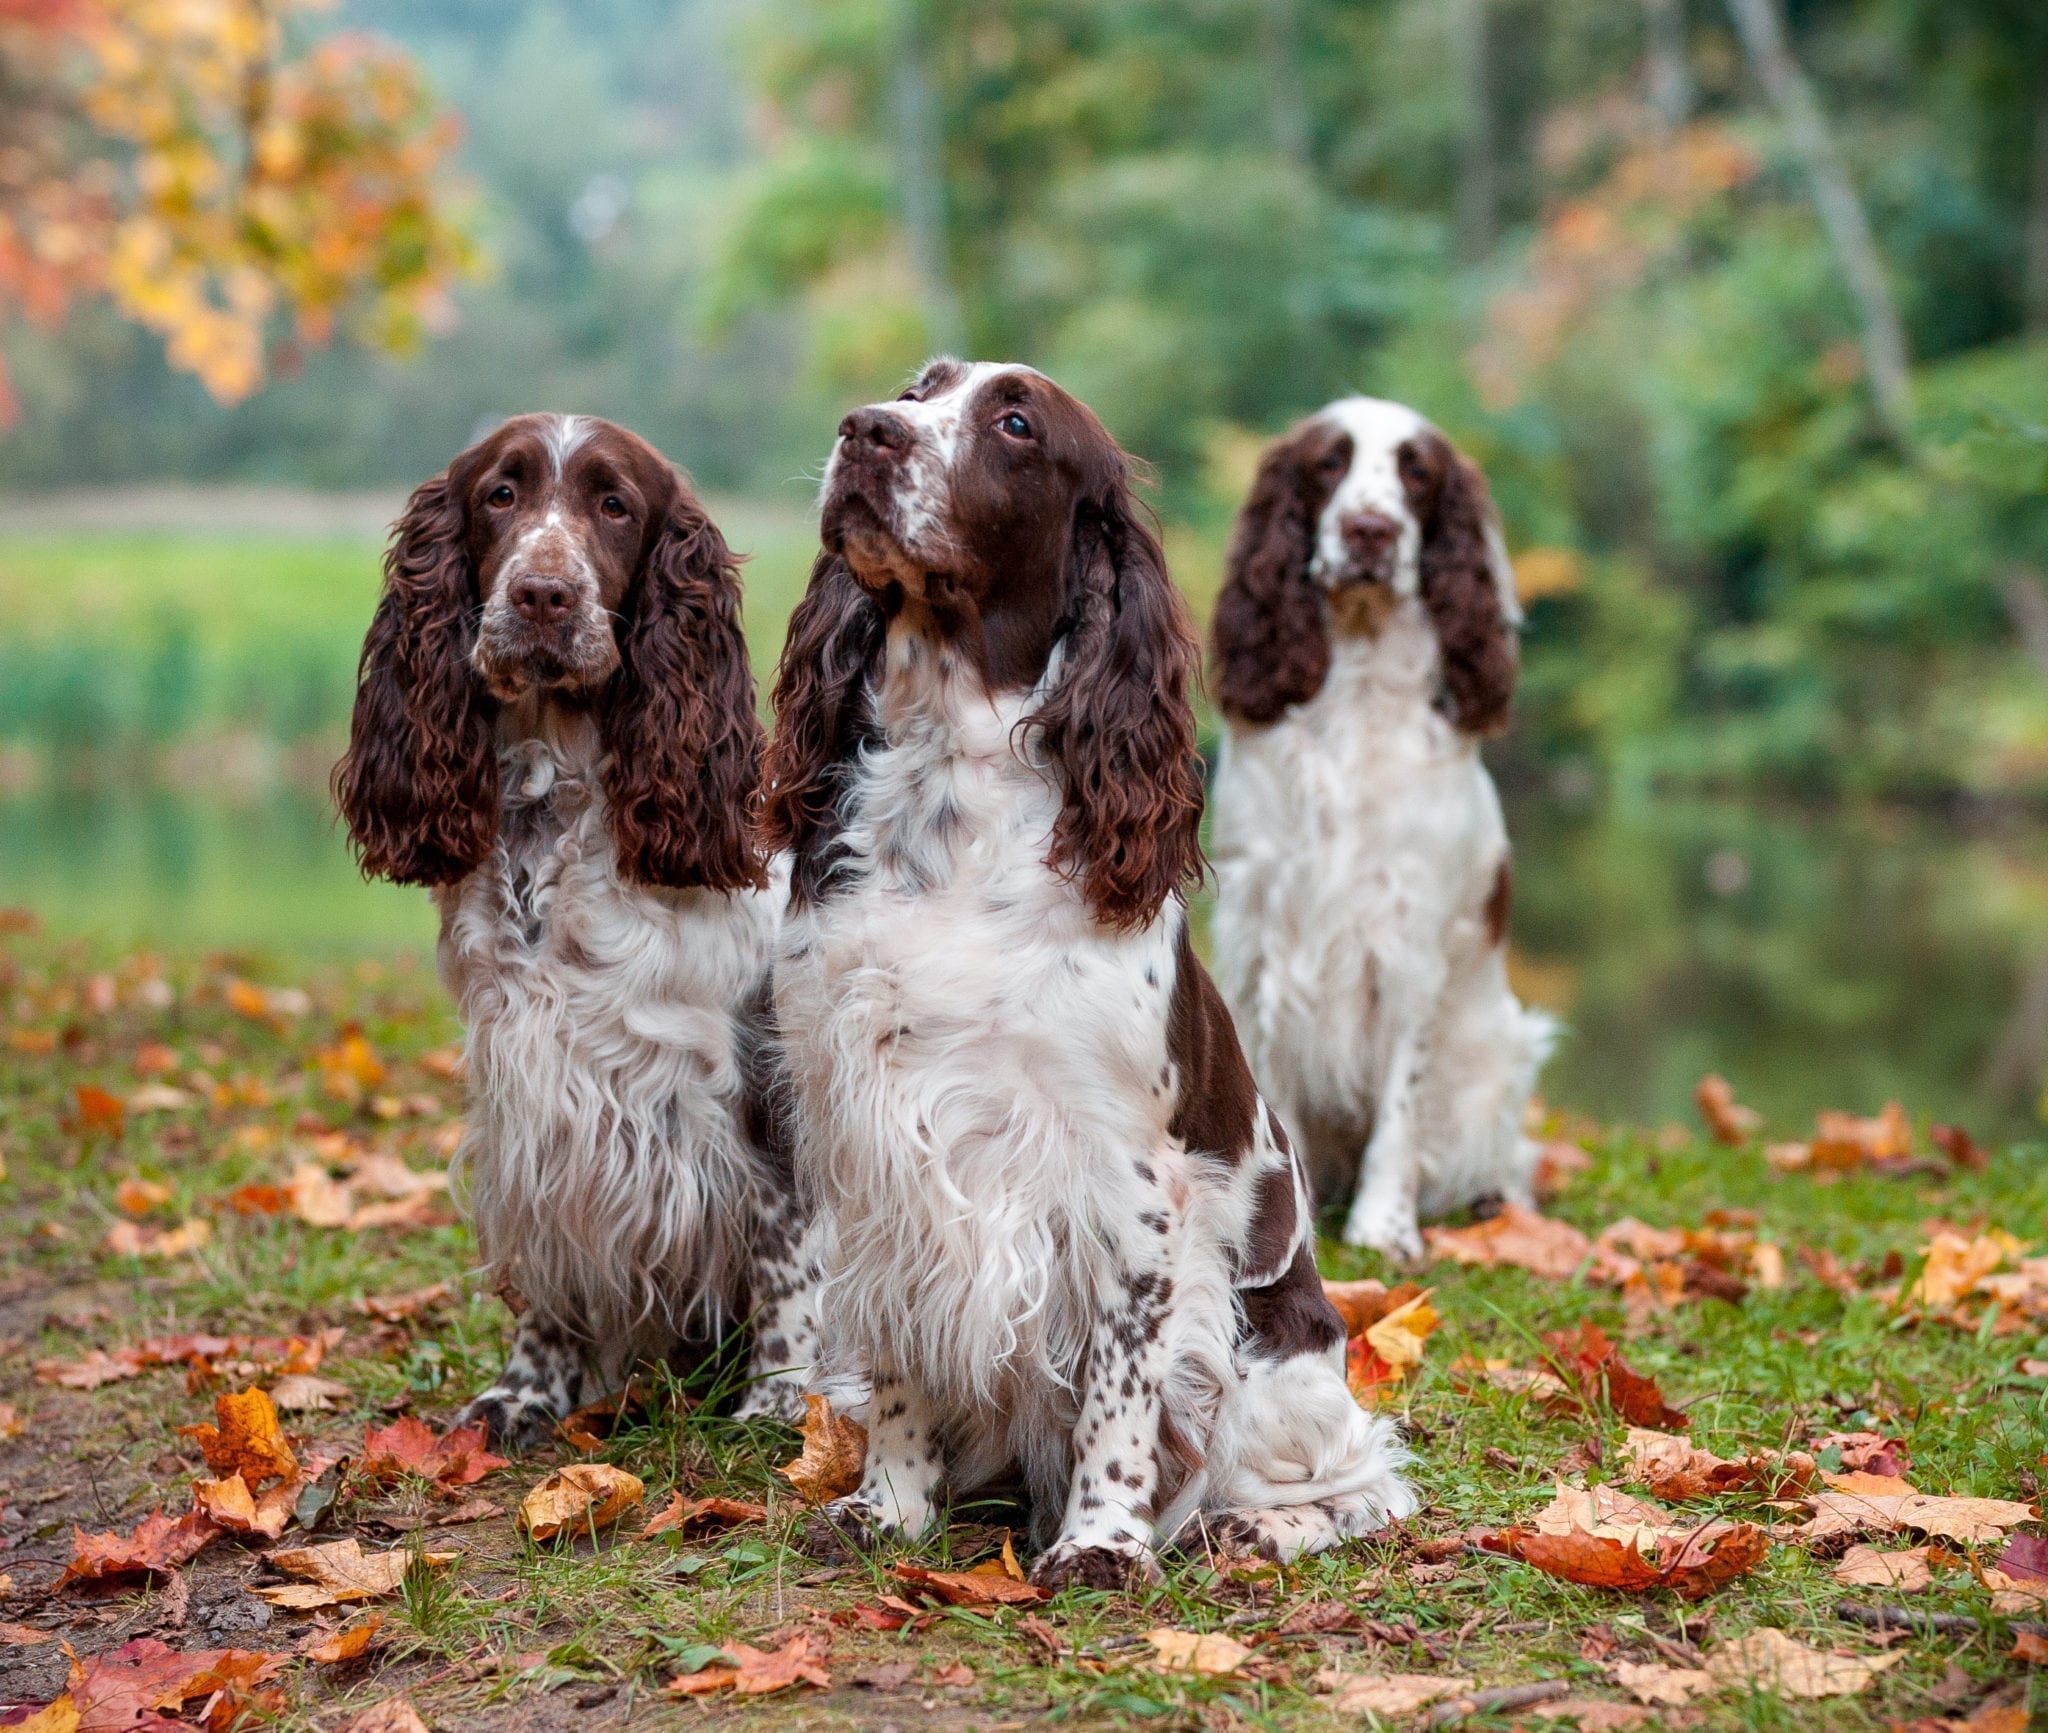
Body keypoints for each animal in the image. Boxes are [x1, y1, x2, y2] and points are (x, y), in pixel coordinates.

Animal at [331, 413, 819, 1442]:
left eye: (615, 505)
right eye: (500, 494)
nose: (544, 594)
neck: (549, 805)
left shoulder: (767, 1078)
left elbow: (788, 1250)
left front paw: (784, 1405)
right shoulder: (532, 1089)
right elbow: (548, 1264)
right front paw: (524, 1392)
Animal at [761, 360, 1417, 1597]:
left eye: (1016, 423)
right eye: (916, 389)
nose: (864, 432)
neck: (952, 798)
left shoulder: (1129, 1180)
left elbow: (1123, 1383)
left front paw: (1101, 1541)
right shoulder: (882, 1145)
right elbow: (902, 1354)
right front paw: (887, 1507)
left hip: (1276, 1367)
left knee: (1366, 1480)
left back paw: (1249, 1529)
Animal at [1196, 393, 1548, 1261]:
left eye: (1417, 471)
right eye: (1330, 461)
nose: (1369, 531)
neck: (1354, 686)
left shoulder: (1408, 933)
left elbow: (1401, 1104)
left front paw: (1384, 1226)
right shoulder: (1264, 927)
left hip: (1502, 1054)